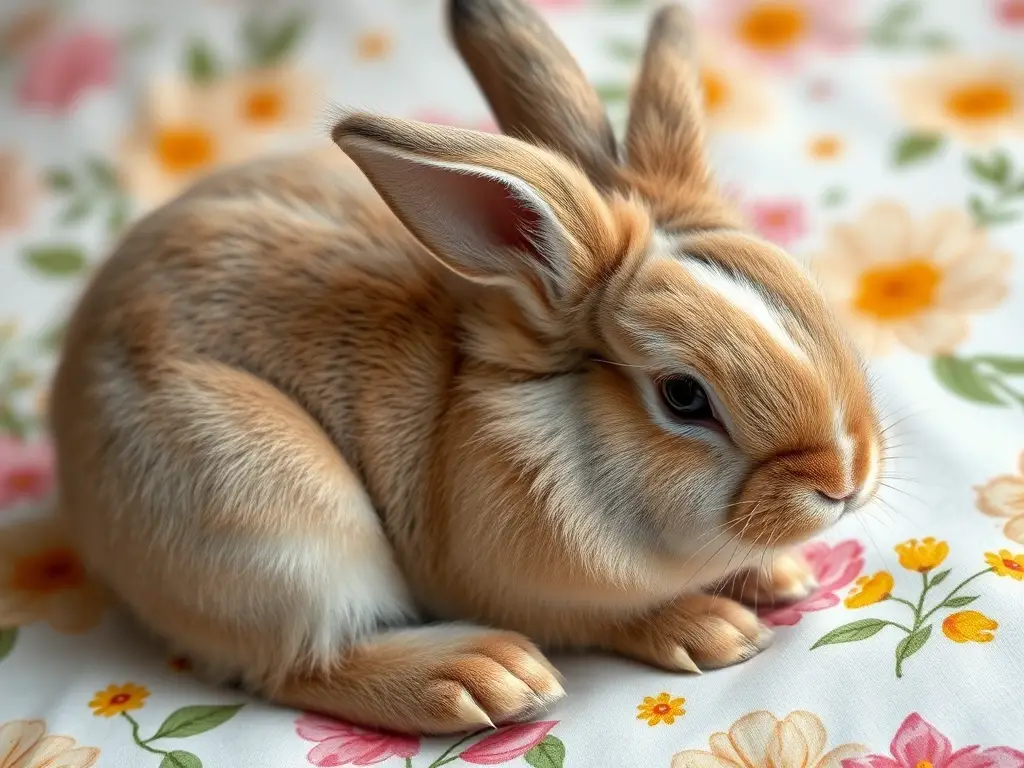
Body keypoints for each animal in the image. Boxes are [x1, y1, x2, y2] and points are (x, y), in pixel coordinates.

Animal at [49, 0, 882, 736]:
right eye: (683, 396)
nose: (846, 482)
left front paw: (784, 577)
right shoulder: (532, 593)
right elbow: (611, 616)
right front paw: (713, 627)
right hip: (279, 521)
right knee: (301, 662)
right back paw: (482, 678)